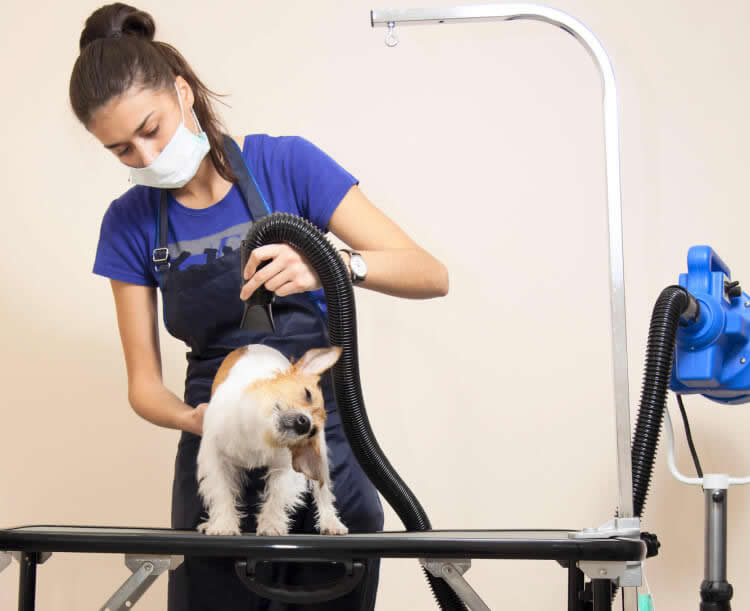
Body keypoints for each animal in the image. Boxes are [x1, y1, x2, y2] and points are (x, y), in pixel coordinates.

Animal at [194, 344, 346, 536]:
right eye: (307, 394)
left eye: (312, 432)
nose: (305, 424)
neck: (259, 433)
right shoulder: (215, 459)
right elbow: (221, 492)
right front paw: (224, 524)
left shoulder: (285, 468)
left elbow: (277, 495)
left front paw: (271, 525)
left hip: (322, 462)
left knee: (323, 492)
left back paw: (331, 522)